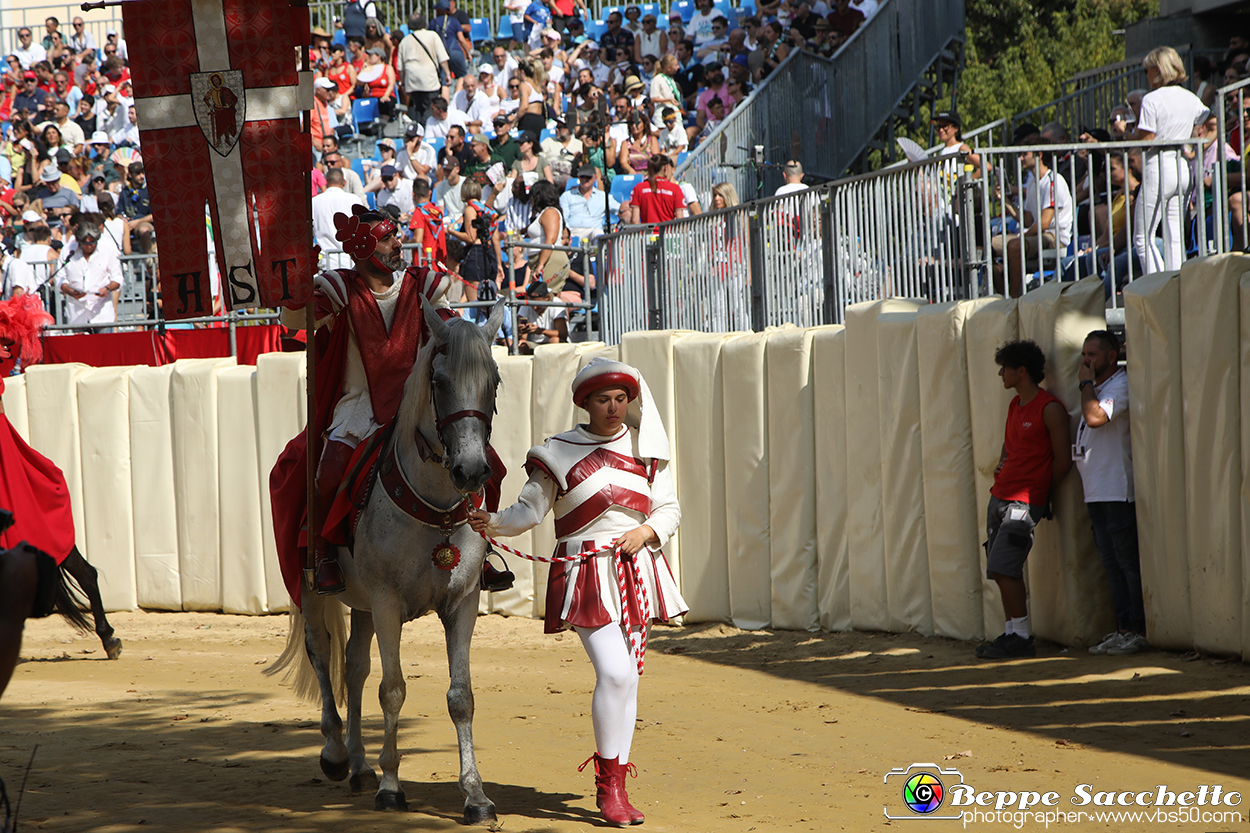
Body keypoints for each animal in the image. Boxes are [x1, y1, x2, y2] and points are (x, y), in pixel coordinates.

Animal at [268, 296, 507, 815]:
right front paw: (392, 785)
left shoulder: (462, 604)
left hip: (359, 604)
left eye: (494, 380)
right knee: (323, 655)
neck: (434, 508)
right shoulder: (386, 602)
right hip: (315, 591)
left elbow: (461, 697)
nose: (471, 470)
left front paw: (475, 793)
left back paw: (359, 764)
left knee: (354, 667)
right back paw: (337, 753)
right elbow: (393, 689)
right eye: (439, 381)